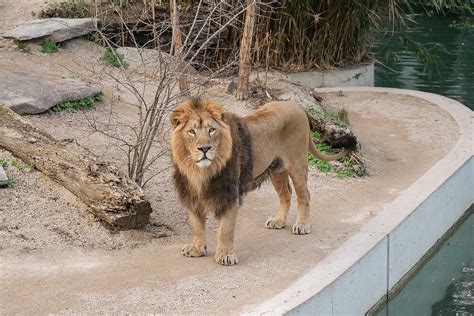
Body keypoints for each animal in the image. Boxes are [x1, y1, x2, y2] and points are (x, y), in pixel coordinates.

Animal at [171, 97, 356, 266]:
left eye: (211, 130)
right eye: (192, 132)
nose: (204, 148)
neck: (200, 172)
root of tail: (297, 106)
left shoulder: (231, 196)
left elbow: (225, 230)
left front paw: (225, 255)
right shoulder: (191, 195)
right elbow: (196, 225)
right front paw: (196, 248)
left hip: (297, 164)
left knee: (304, 195)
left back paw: (302, 225)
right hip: (276, 170)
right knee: (286, 194)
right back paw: (278, 221)